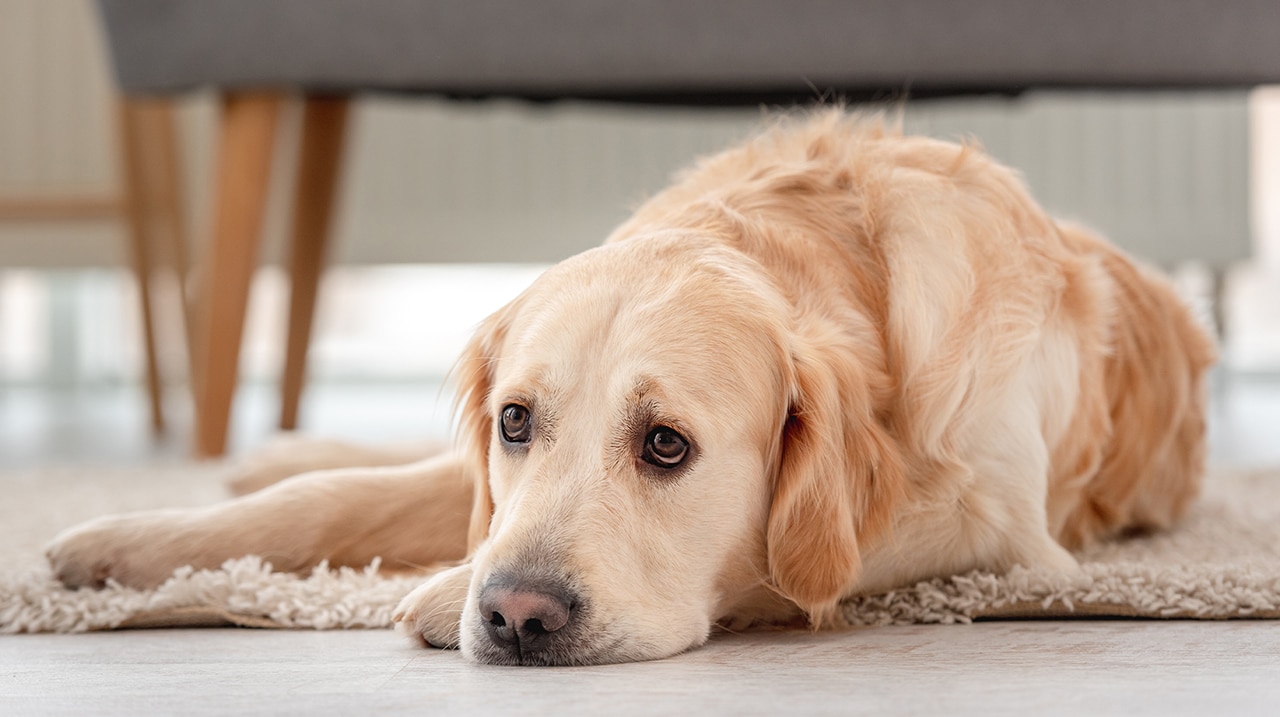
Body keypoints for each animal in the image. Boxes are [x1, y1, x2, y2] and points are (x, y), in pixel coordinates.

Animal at [47, 112, 1208, 665]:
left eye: (665, 445)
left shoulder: (1008, 535)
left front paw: (432, 591)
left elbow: (795, 558)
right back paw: (273, 453)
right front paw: (128, 543)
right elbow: (334, 501)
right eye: (517, 421)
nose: (512, 614)